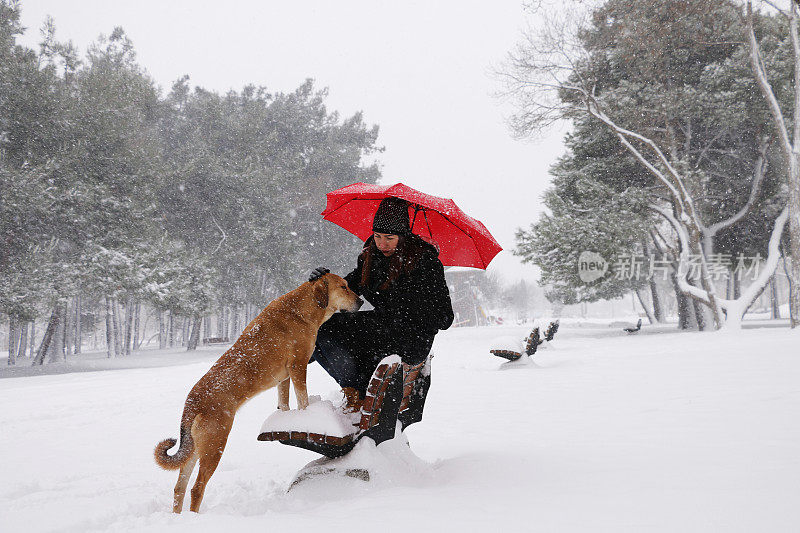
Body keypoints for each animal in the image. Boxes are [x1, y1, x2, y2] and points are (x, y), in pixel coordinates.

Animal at [151, 274, 362, 512]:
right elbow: (303, 398)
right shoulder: (298, 366)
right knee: (197, 488)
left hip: (195, 449)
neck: (301, 310)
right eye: (343, 287)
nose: (361, 301)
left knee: (179, 487)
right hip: (215, 445)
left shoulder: (284, 378)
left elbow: (284, 403)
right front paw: (308, 417)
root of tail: (192, 401)